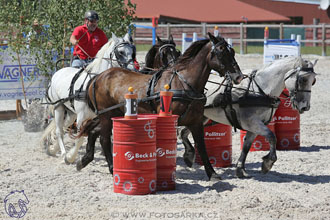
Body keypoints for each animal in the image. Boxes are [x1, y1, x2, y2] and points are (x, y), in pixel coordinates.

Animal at [41, 32, 137, 163]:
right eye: (120, 52)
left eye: (133, 51)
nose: (133, 69)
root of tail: (57, 72)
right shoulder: (82, 117)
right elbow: (80, 138)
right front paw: (70, 157)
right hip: (59, 108)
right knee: (59, 130)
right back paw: (63, 153)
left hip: (71, 113)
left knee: (64, 126)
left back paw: (53, 149)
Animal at [76, 32, 242, 180]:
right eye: (221, 52)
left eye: (232, 51)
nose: (238, 76)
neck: (184, 83)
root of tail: (99, 76)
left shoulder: (196, 122)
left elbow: (201, 146)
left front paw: (211, 172)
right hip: (105, 115)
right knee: (104, 139)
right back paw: (111, 168)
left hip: (114, 113)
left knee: (94, 131)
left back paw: (84, 160)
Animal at [180, 55, 318, 178]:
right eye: (303, 80)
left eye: (313, 81)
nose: (305, 107)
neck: (259, 89)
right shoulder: (251, 122)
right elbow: (272, 137)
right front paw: (268, 163)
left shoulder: (255, 126)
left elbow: (247, 146)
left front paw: (240, 169)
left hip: (201, 118)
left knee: (183, 132)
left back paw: (189, 155)